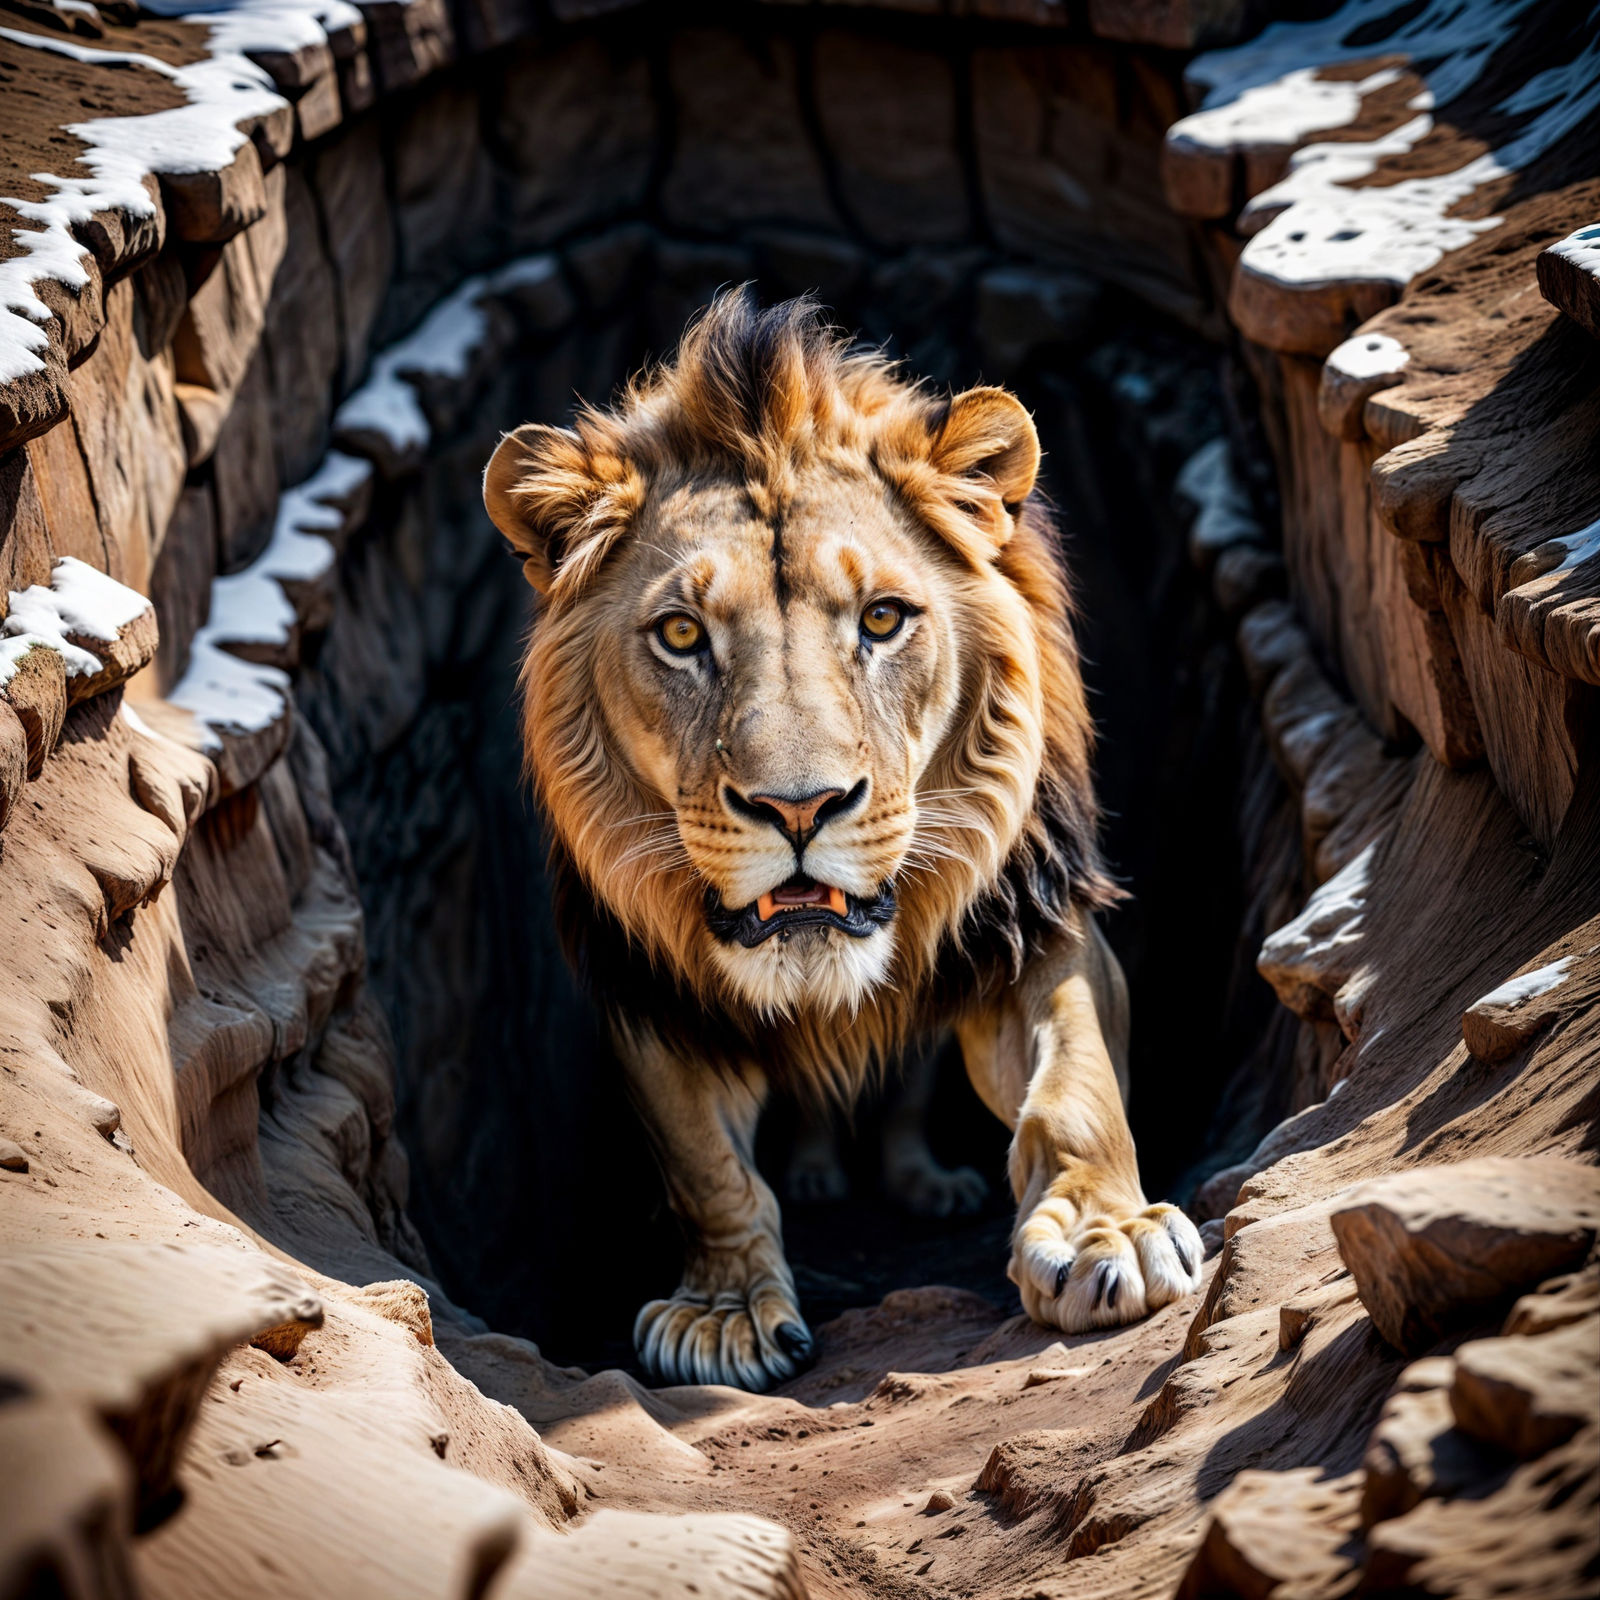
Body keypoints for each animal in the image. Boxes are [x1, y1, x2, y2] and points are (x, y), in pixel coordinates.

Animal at [483, 289, 1203, 1391]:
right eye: (682, 635)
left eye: (882, 618)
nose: (798, 809)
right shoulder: (648, 990)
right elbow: (704, 1163)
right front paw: (727, 1311)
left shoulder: (1035, 918)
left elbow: (1076, 1087)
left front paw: (1104, 1235)